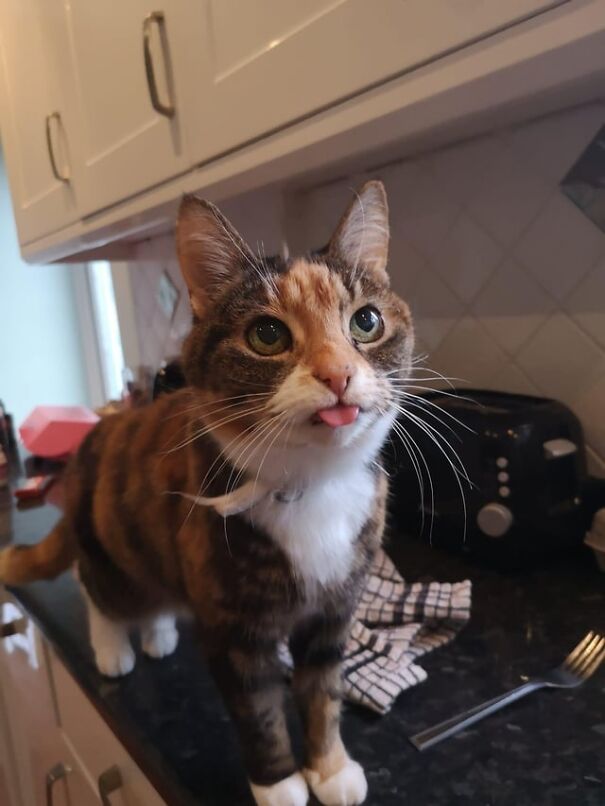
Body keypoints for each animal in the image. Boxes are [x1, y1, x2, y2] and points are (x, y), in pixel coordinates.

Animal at [0, 183, 412, 806]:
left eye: (366, 321)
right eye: (267, 335)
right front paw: (279, 783)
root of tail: (99, 433)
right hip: (112, 548)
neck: (312, 484)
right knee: (98, 589)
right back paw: (115, 647)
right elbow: (258, 708)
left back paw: (159, 632)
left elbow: (322, 690)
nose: (338, 374)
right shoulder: (233, 627)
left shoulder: (334, 612)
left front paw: (330, 767)